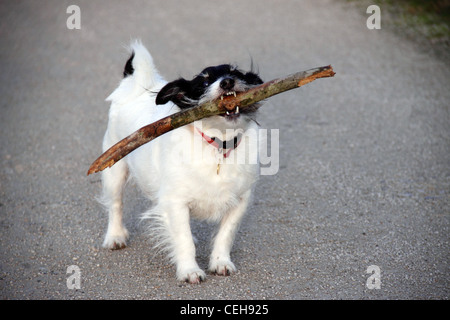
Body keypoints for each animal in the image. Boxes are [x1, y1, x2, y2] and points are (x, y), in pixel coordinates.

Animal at [101, 40, 264, 282]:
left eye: (235, 72)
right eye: (204, 81)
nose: (227, 82)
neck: (218, 145)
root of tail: (135, 84)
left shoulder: (241, 200)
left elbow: (226, 234)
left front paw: (221, 262)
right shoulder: (176, 201)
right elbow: (184, 240)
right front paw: (189, 271)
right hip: (114, 170)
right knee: (115, 204)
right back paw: (115, 236)